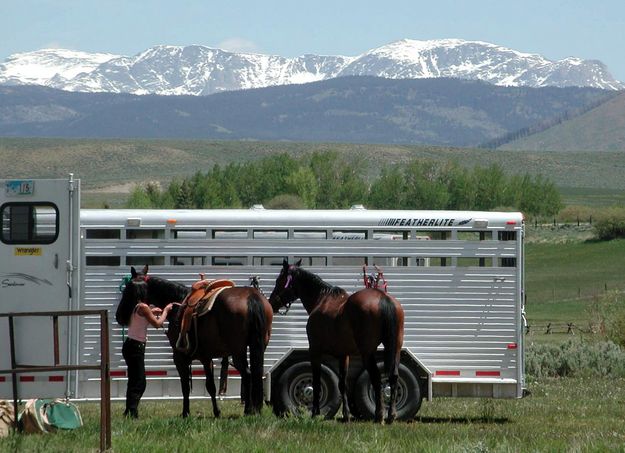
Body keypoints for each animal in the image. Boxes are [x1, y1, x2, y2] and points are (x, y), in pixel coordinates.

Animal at [119, 264, 270, 416]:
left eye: (127, 289)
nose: (119, 315)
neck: (178, 305)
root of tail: (251, 297)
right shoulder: (207, 358)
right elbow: (211, 386)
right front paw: (216, 412)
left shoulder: (180, 357)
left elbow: (185, 386)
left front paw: (185, 413)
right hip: (258, 347)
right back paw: (254, 409)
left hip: (237, 351)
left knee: (247, 374)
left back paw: (248, 410)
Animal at [268, 260, 404, 422]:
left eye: (279, 281)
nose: (271, 303)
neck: (322, 300)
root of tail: (383, 298)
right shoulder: (343, 355)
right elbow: (342, 384)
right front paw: (346, 415)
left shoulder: (315, 350)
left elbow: (316, 381)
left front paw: (315, 413)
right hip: (395, 348)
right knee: (393, 376)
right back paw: (391, 415)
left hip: (367, 352)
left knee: (376, 378)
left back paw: (379, 415)